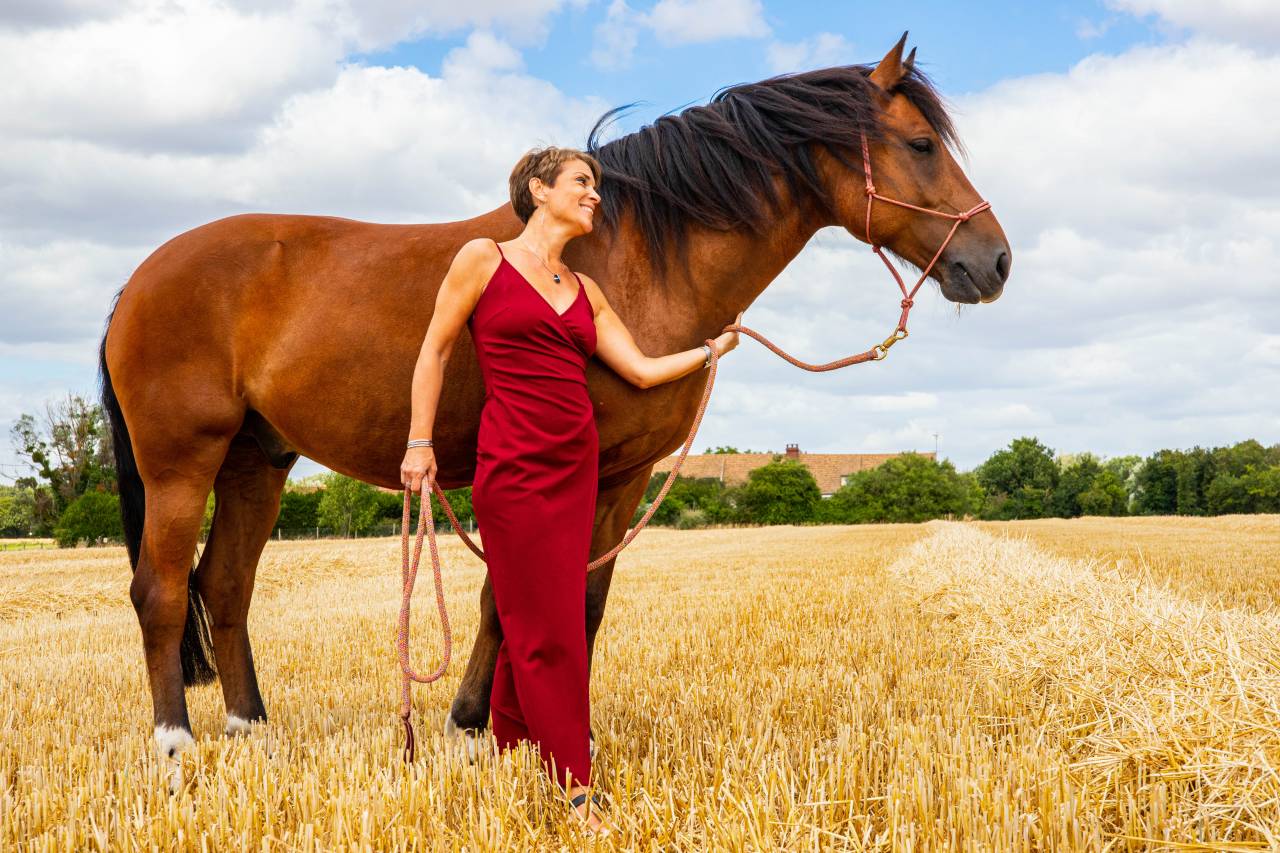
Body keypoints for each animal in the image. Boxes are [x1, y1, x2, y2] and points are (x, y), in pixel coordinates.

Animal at [99, 35, 1011, 772]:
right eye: (921, 143)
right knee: (162, 590)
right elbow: (516, 594)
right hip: (184, 462)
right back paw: (174, 743)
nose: (995, 261)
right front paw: (484, 730)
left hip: (257, 460)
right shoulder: (574, 466)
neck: (638, 257)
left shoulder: (624, 476)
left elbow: (580, 600)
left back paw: (252, 730)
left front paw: (524, 729)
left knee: (225, 586)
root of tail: (138, 281)